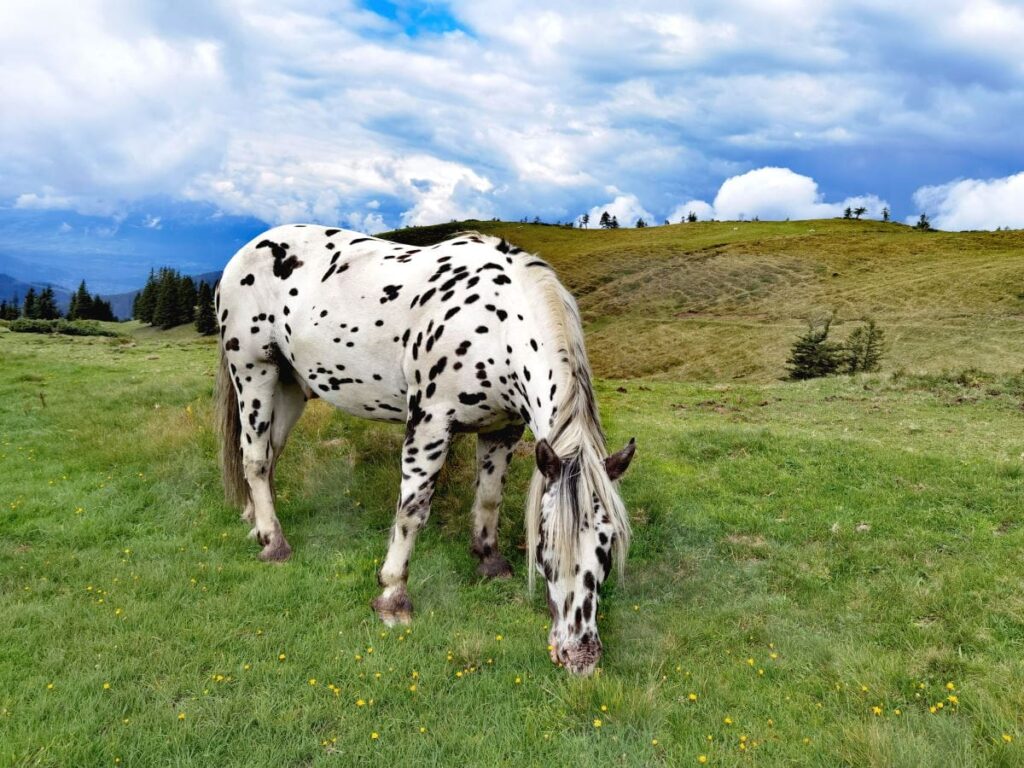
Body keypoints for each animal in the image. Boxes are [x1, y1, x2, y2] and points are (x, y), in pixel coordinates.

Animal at [214, 225, 630, 675]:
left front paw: (490, 562)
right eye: (545, 543)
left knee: (269, 455)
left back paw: (257, 524)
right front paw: (393, 597)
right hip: (254, 373)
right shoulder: (430, 423)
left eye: (607, 545)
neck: (498, 327)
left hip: (290, 386)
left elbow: (489, 499)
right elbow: (412, 512)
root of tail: (247, 250)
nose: (581, 657)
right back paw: (274, 544)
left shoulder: (502, 430)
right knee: (255, 459)